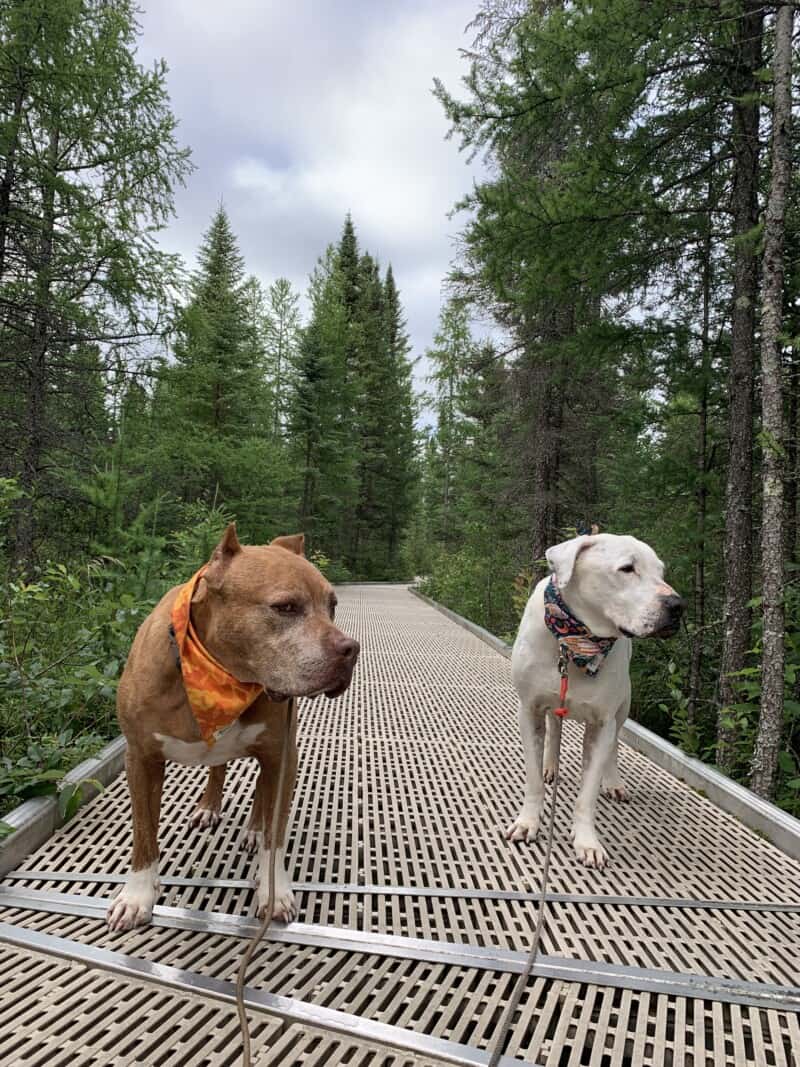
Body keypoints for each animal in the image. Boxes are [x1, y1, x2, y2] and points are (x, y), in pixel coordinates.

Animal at [106, 527, 360, 934]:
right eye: (286, 607)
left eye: (332, 605)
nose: (350, 649)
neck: (218, 675)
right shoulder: (140, 758)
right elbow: (144, 832)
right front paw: (137, 895)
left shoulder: (282, 754)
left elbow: (276, 832)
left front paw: (274, 889)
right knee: (218, 766)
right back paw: (209, 806)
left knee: (261, 790)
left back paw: (254, 828)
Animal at [507, 533, 682, 866]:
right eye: (627, 568)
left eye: (662, 572)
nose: (677, 605)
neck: (577, 641)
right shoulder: (529, 710)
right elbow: (533, 779)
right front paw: (528, 822)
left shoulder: (602, 724)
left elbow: (587, 794)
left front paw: (587, 841)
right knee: (554, 729)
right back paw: (551, 765)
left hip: (623, 707)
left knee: (613, 747)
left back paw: (613, 782)